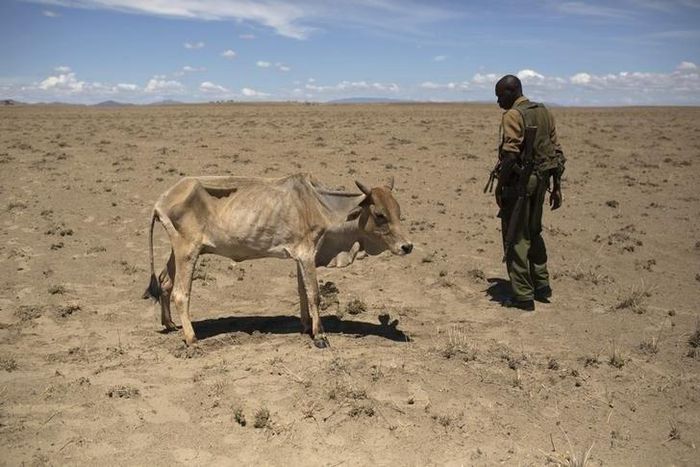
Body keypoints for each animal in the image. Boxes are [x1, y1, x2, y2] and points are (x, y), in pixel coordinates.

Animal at [143, 173, 413, 348]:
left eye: (399, 212)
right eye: (380, 214)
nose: (407, 246)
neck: (321, 206)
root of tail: (161, 201)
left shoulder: (301, 256)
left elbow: (302, 292)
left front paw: (305, 326)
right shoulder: (307, 253)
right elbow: (314, 294)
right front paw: (320, 336)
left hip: (178, 252)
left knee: (164, 282)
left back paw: (169, 324)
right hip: (187, 251)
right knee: (180, 294)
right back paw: (191, 339)